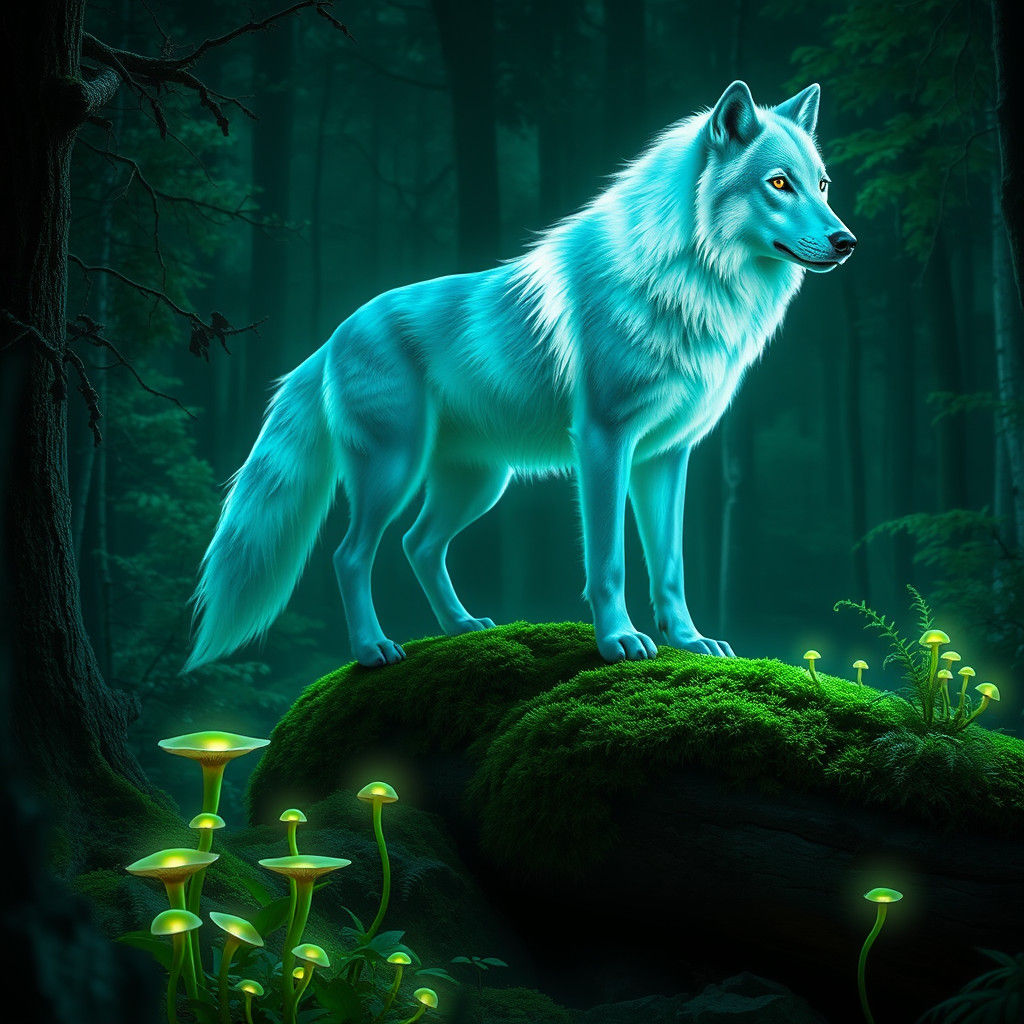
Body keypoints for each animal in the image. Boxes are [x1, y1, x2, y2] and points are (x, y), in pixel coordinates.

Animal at [185, 80, 855, 671]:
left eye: (822, 185)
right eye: (779, 184)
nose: (846, 241)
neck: (686, 282)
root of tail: (329, 340)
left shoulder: (667, 455)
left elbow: (670, 568)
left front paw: (690, 642)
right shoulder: (603, 443)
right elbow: (608, 561)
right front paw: (619, 641)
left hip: (481, 483)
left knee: (417, 545)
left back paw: (462, 627)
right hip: (396, 471)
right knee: (351, 555)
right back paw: (373, 650)